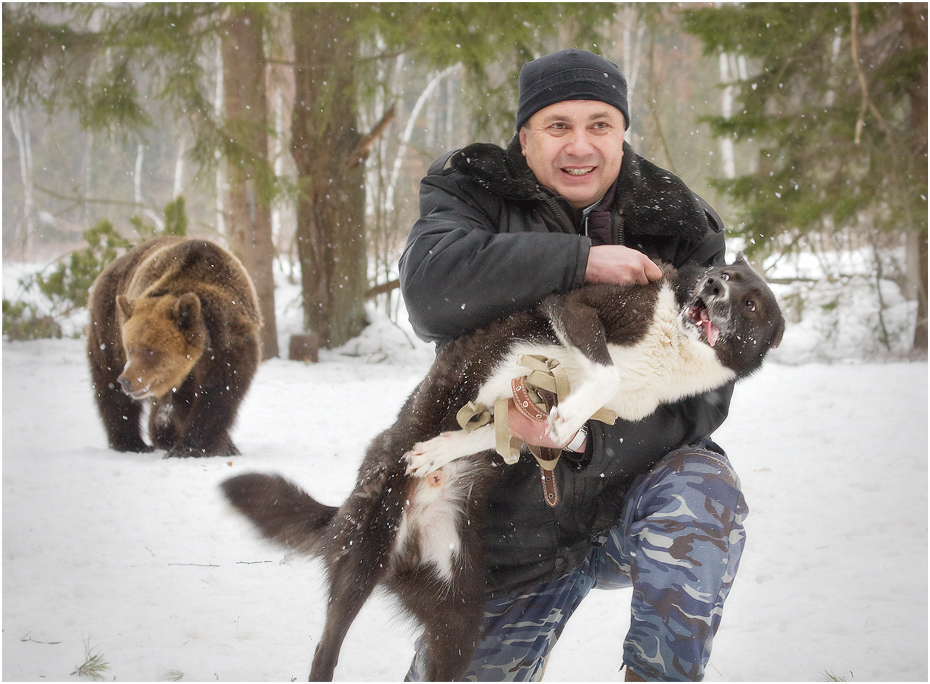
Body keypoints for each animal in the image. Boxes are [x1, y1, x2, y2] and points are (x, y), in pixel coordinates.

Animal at [86, 236, 260, 460]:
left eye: (150, 350)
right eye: (131, 348)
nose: (126, 380)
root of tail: (108, 268)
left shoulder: (230, 344)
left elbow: (219, 393)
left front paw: (196, 446)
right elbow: (185, 402)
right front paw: (198, 446)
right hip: (108, 328)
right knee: (109, 385)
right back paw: (132, 443)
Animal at [221, 254, 780, 680]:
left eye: (751, 303)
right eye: (726, 274)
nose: (712, 284)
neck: (675, 342)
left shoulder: (544, 409)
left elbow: (497, 430)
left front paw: (449, 447)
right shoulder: (575, 307)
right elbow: (604, 372)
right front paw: (565, 417)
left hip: (458, 624)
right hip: (364, 556)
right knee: (325, 649)